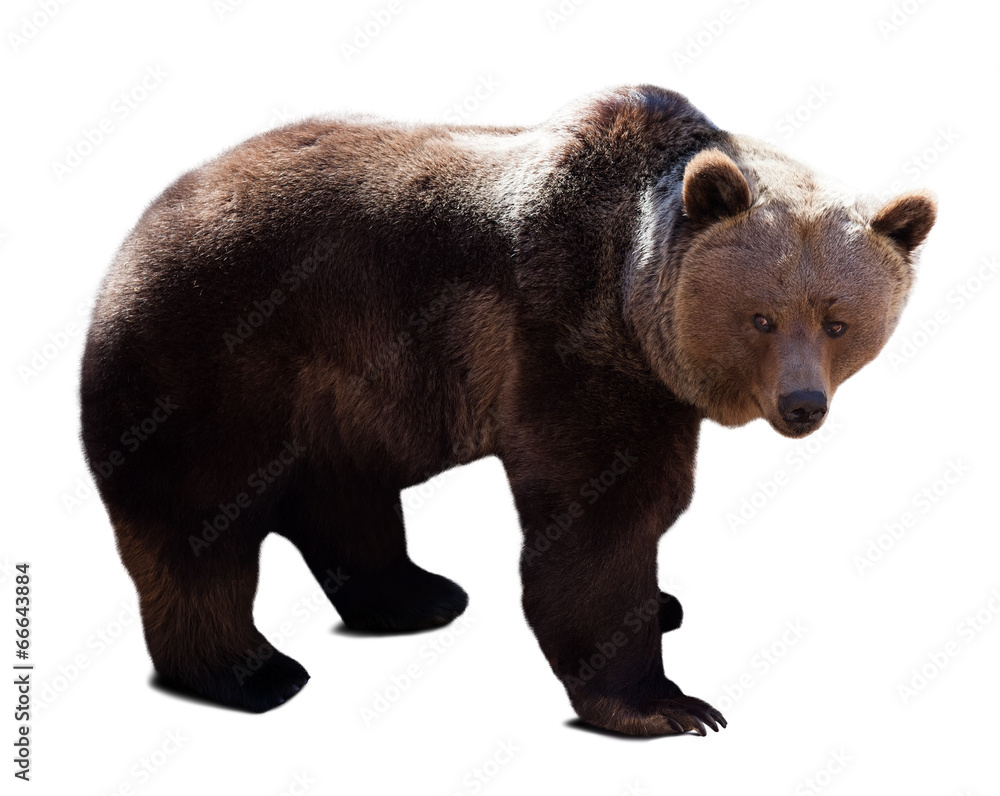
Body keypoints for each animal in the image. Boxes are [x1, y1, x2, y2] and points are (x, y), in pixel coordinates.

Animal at [80, 85, 935, 736]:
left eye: (838, 322)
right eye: (761, 317)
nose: (802, 404)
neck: (630, 286)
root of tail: (143, 224)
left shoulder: (650, 379)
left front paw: (664, 605)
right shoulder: (564, 336)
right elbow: (599, 521)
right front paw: (669, 703)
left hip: (339, 390)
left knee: (345, 495)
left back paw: (417, 594)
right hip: (216, 354)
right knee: (198, 524)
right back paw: (252, 673)